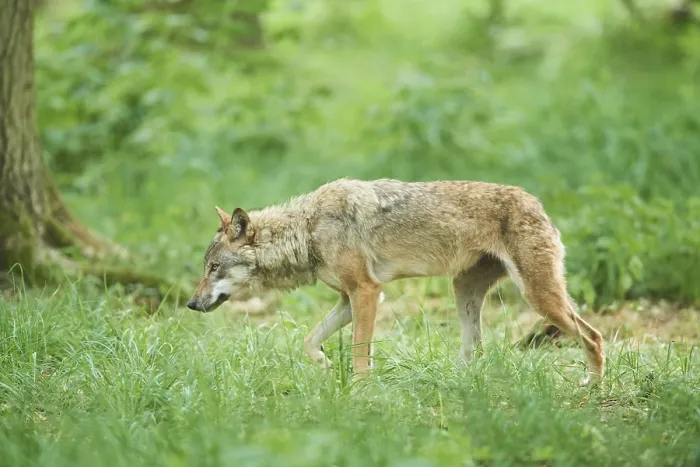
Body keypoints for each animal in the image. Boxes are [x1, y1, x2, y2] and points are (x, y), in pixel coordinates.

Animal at [186, 178, 605, 382]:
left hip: (538, 297)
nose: (191, 304)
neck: (308, 228)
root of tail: (538, 204)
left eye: (213, 268)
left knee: (594, 337)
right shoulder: (347, 300)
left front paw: (360, 394)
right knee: (476, 352)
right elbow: (309, 340)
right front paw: (324, 365)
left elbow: (359, 355)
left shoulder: (367, 292)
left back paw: (592, 389)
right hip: (465, 294)